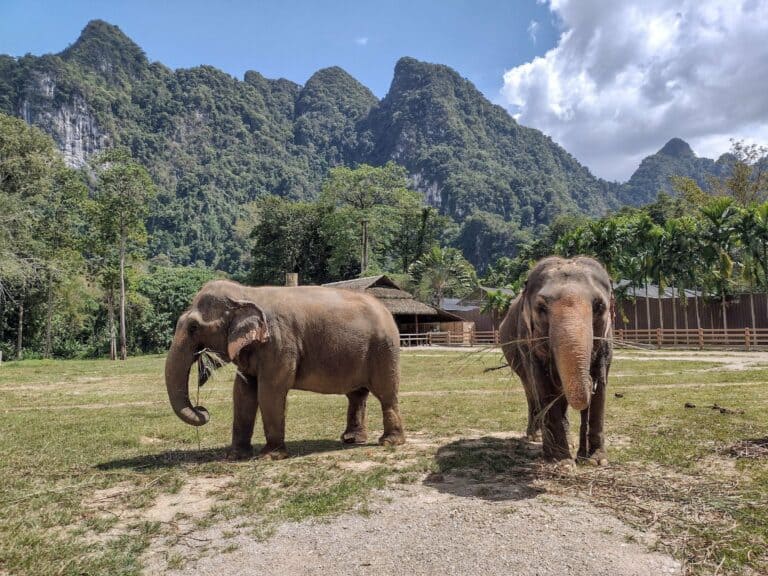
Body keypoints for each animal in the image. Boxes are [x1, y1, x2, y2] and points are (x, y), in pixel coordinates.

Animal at [164, 279, 405, 460]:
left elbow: (270, 391)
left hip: (384, 350)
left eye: (194, 327)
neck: (247, 292)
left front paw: (269, 457)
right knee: (356, 395)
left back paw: (389, 442)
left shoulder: (279, 343)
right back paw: (351, 439)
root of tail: (387, 310)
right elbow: (242, 393)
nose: (202, 409)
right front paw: (234, 456)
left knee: (386, 393)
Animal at [499, 256, 613, 465]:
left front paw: (595, 460)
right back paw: (535, 436)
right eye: (541, 308)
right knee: (530, 390)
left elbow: (601, 385)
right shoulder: (527, 341)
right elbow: (542, 386)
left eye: (599, 306)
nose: (589, 380)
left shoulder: (607, 340)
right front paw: (560, 461)